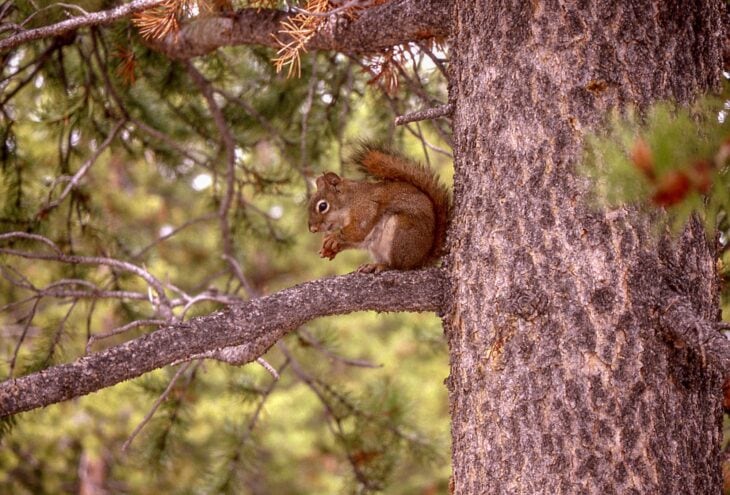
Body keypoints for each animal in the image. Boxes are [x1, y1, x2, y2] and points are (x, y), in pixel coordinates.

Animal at [307, 143, 451, 273]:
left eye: (323, 206)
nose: (313, 229)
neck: (351, 200)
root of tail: (422, 259)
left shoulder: (365, 209)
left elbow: (357, 231)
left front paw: (333, 237)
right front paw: (331, 249)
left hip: (401, 234)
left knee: (398, 266)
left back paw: (381, 266)